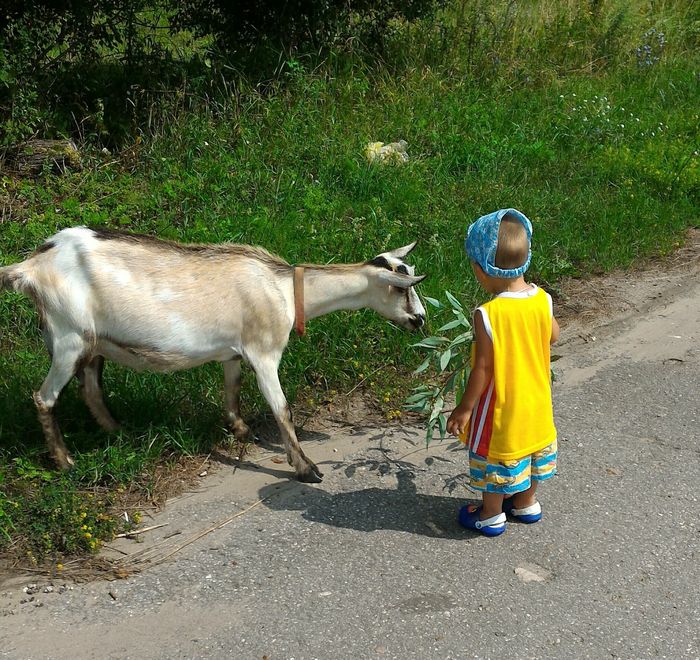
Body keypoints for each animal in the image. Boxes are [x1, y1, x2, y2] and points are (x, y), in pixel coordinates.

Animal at [0, 227, 426, 480]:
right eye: (401, 287)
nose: (420, 320)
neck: (285, 289)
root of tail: (32, 266)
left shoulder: (233, 353)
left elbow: (232, 390)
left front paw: (240, 430)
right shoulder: (264, 352)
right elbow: (283, 409)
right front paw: (306, 468)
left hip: (93, 342)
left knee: (90, 389)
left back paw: (119, 432)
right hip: (69, 336)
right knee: (44, 397)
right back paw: (65, 460)